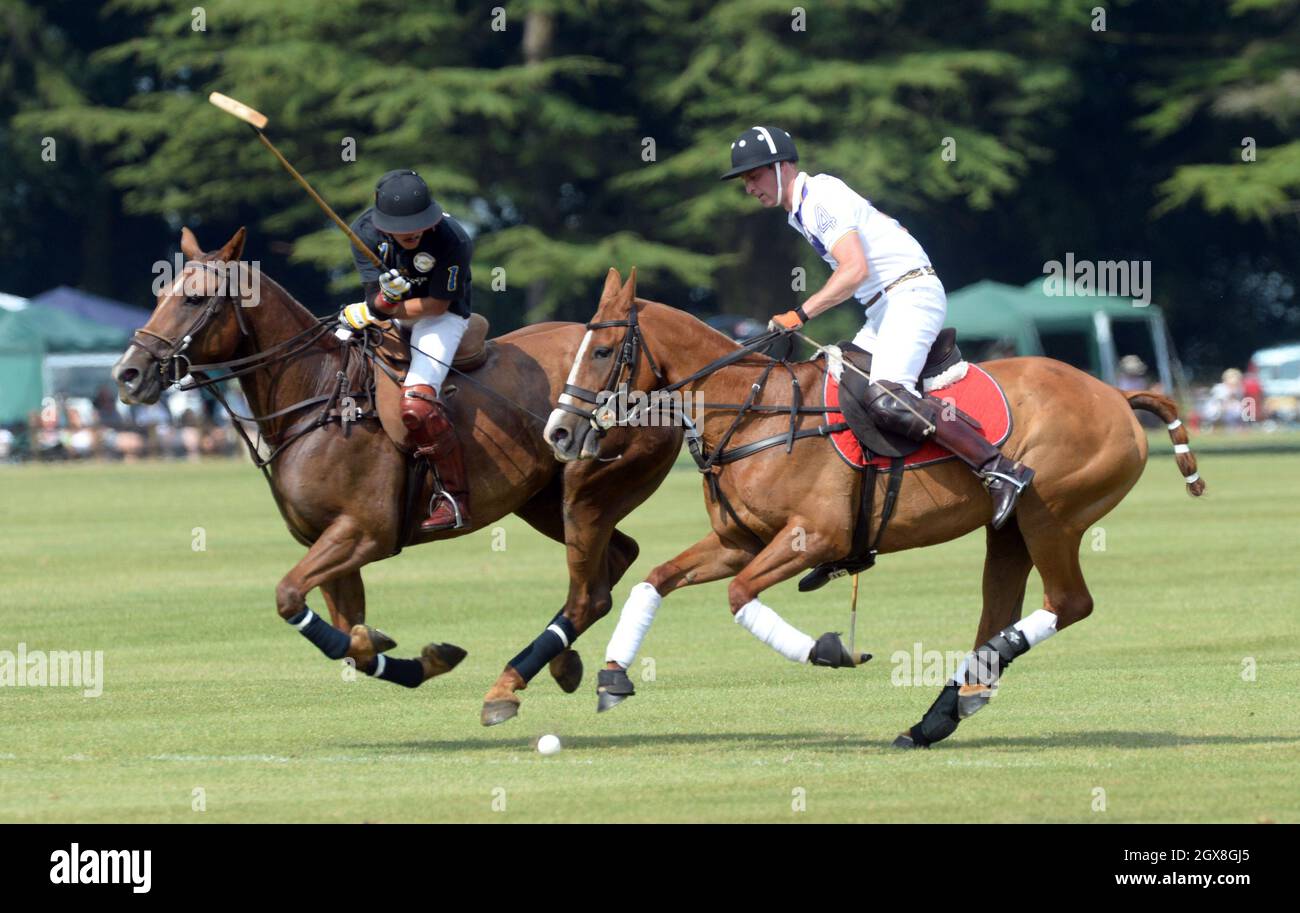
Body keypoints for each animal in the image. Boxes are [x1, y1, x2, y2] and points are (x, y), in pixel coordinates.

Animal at [111, 230, 681, 728]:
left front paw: (396, 648)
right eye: (161, 292)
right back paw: (563, 662)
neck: (316, 394)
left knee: (590, 591)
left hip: (588, 490)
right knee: (614, 561)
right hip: (542, 500)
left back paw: (509, 688)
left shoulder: (364, 531)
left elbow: (290, 597)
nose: (128, 374)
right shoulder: (329, 543)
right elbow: (350, 638)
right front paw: (423, 658)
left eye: (195, 298)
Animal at [543, 270, 1201, 749]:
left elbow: (739, 596)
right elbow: (653, 580)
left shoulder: (815, 536)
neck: (754, 411)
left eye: (602, 350)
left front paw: (830, 650)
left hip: (1052, 517)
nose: (558, 432)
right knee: (999, 614)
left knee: (1069, 603)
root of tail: (1116, 394)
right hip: (1009, 530)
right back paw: (938, 717)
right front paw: (613, 676)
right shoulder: (739, 542)